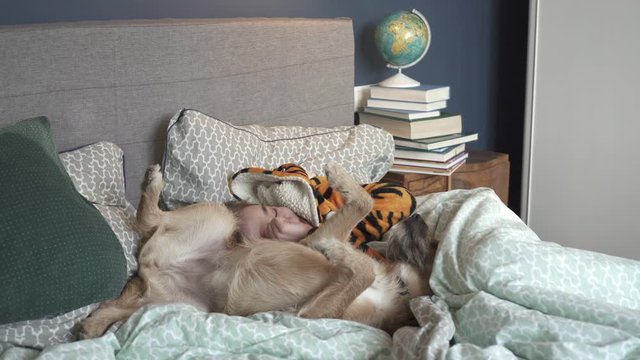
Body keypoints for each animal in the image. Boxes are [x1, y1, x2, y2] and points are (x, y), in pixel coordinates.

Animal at [77, 162, 432, 338]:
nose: (419, 217)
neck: (396, 288)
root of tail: (153, 270)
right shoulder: (310, 244)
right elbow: (363, 206)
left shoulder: (311, 314)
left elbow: (362, 266)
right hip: (214, 226)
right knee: (148, 226)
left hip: (177, 301)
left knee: (146, 227)